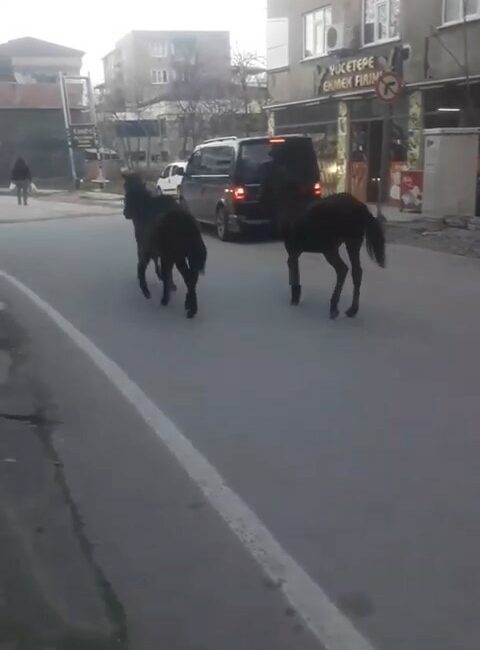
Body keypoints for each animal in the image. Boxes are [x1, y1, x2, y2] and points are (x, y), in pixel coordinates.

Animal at [124, 171, 206, 316]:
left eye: (126, 194)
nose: (125, 212)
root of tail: (189, 225)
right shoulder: (161, 254)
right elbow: (165, 272)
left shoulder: (145, 247)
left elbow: (142, 267)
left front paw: (146, 290)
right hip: (188, 255)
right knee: (192, 277)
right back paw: (190, 306)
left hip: (176, 254)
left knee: (188, 276)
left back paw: (170, 301)